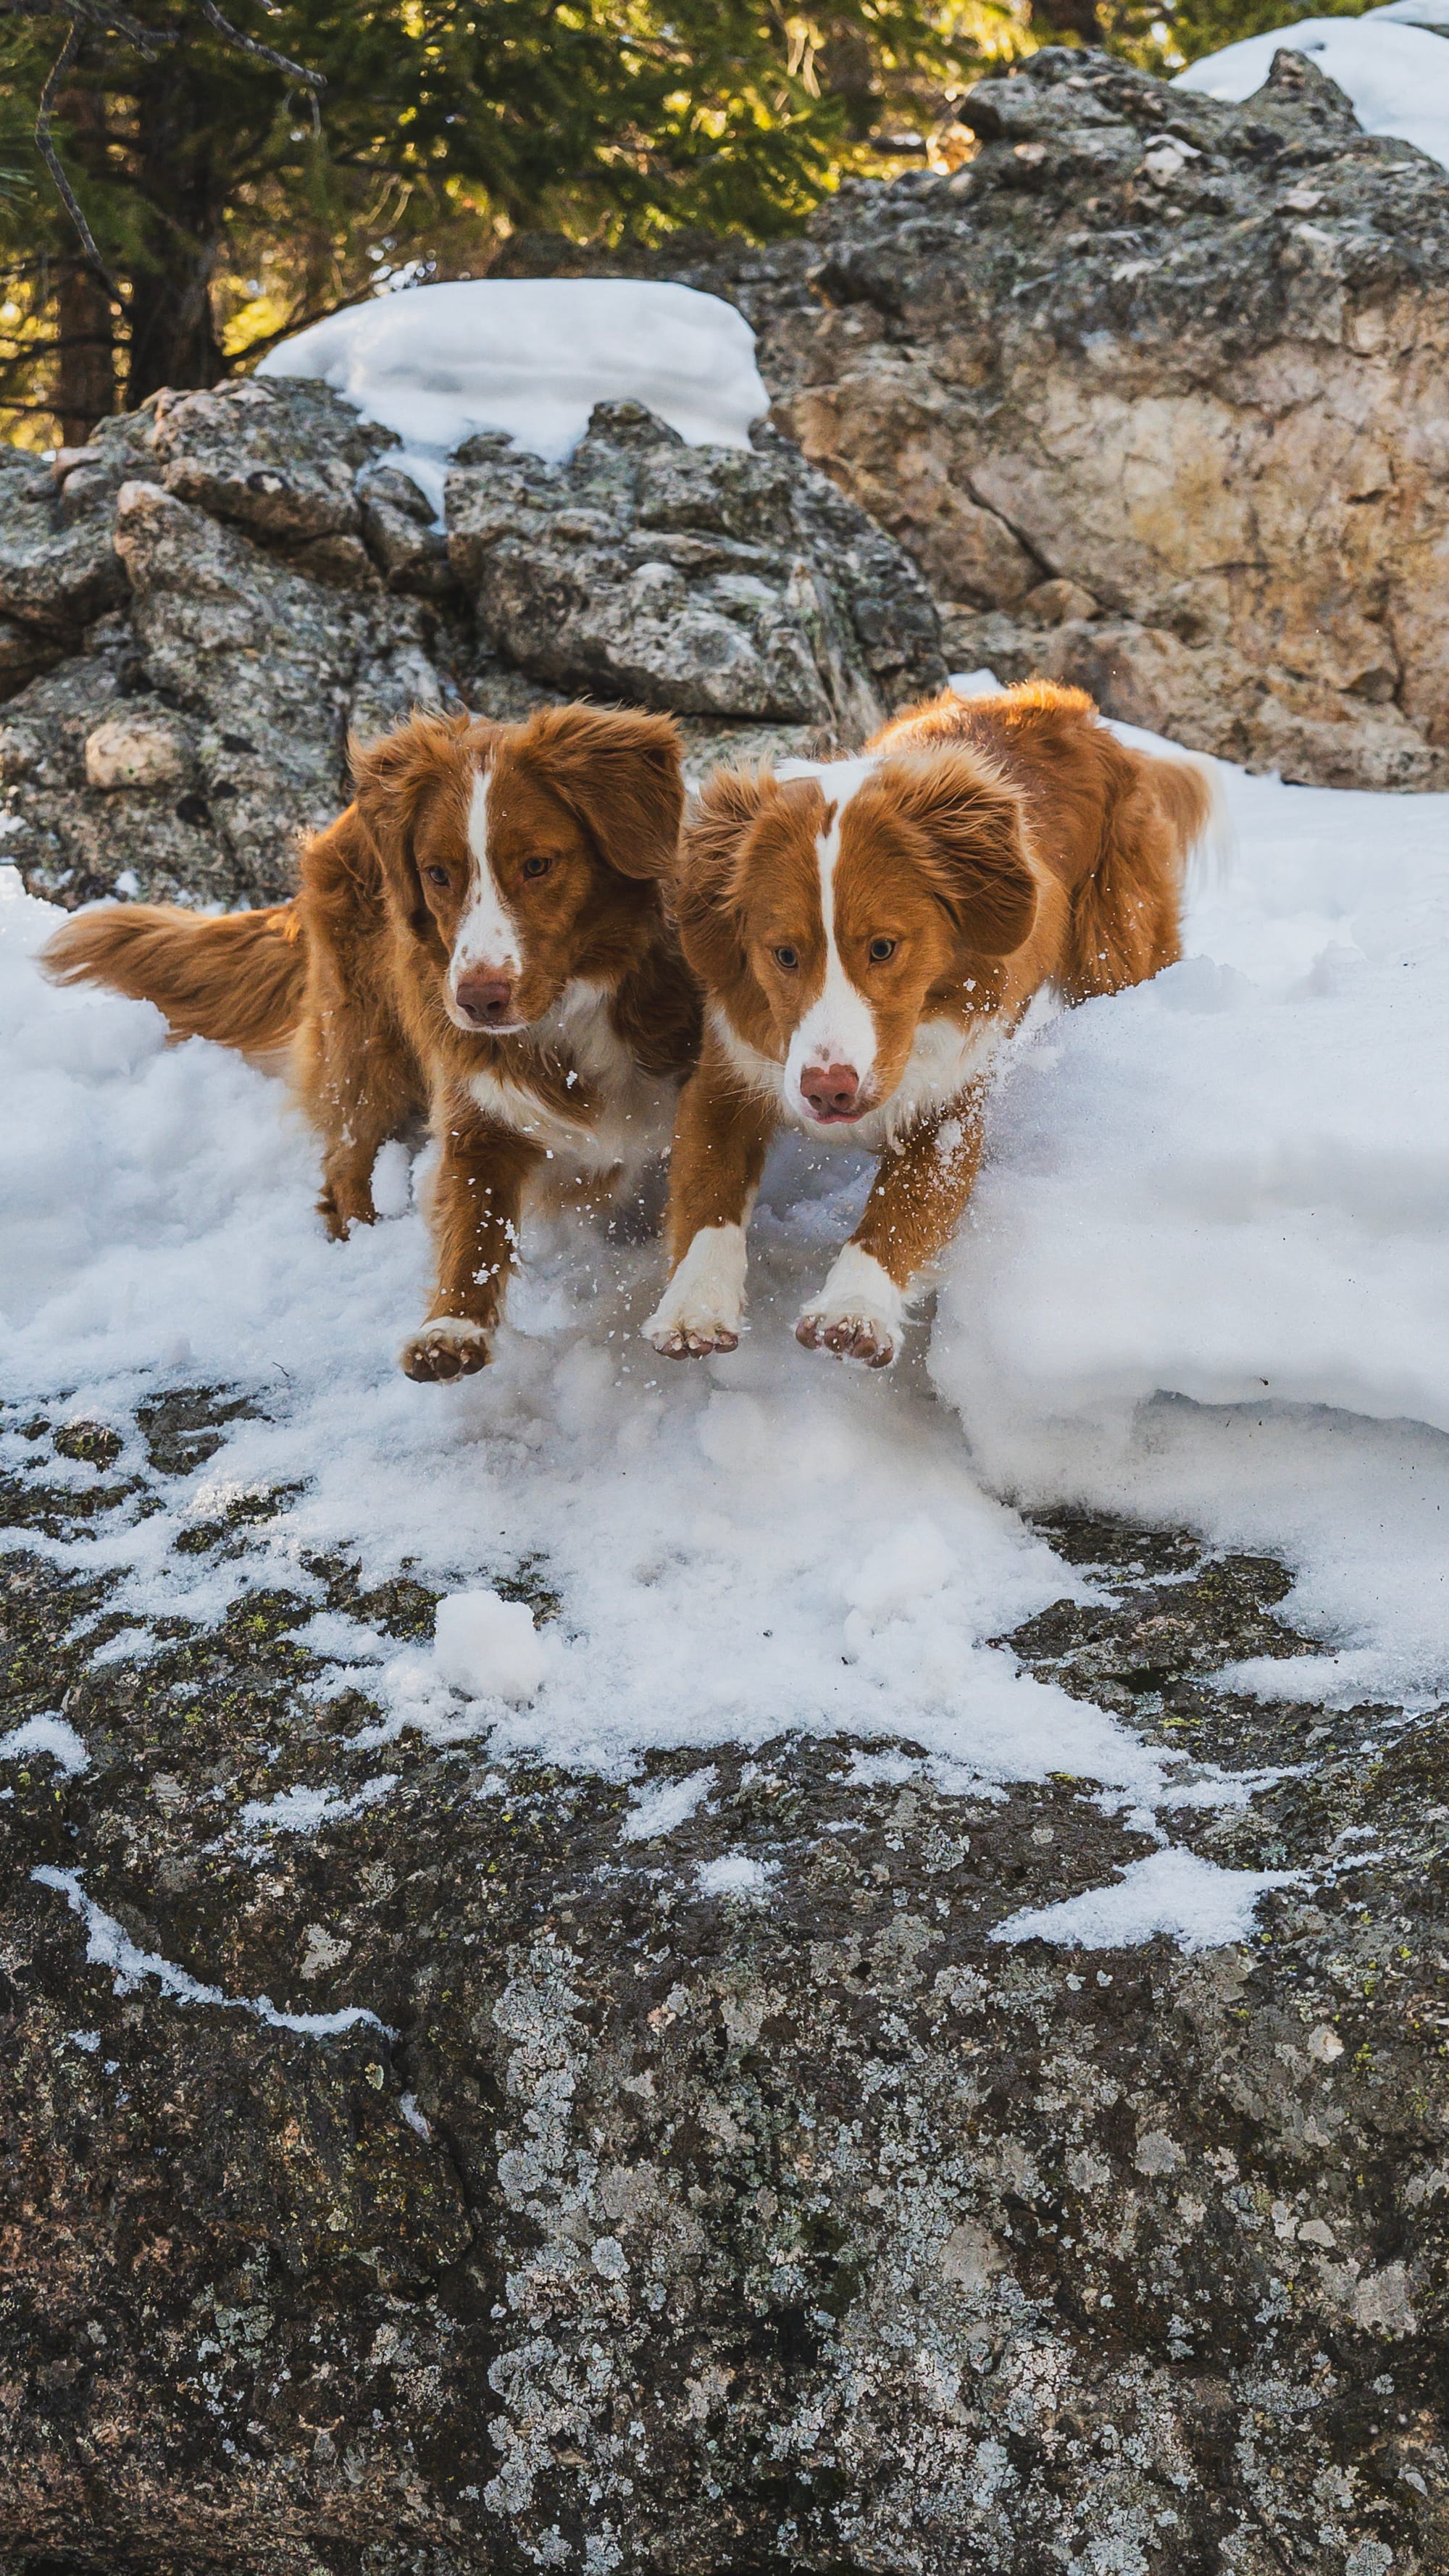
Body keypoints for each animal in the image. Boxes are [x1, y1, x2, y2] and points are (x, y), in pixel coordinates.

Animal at [42, 695, 696, 1381]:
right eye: (437, 873)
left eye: (538, 865)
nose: (479, 1001)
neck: (572, 1015)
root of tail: (349, 812)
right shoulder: (478, 1106)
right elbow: (474, 1223)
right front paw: (450, 1327)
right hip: (366, 1041)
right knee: (347, 1158)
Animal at [637, 679, 1211, 1370]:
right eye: (784, 954)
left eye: (883, 948)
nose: (827, 1091)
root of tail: (1069, 705)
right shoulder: (727, 1078)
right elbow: (707, 1194)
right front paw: (694, 1307)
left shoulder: (950, 1111)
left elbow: (902, 1211)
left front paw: (854, 1309)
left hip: (1118, 947)